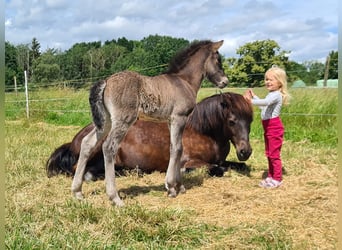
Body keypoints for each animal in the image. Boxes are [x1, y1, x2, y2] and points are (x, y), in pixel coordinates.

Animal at [46, 91, 252, 180]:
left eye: (250, 120)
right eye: (232, 121)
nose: (245, 151)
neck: (201, 132)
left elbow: (236, 166)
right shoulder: (190, 161)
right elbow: (216, 169)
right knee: (78, 169)